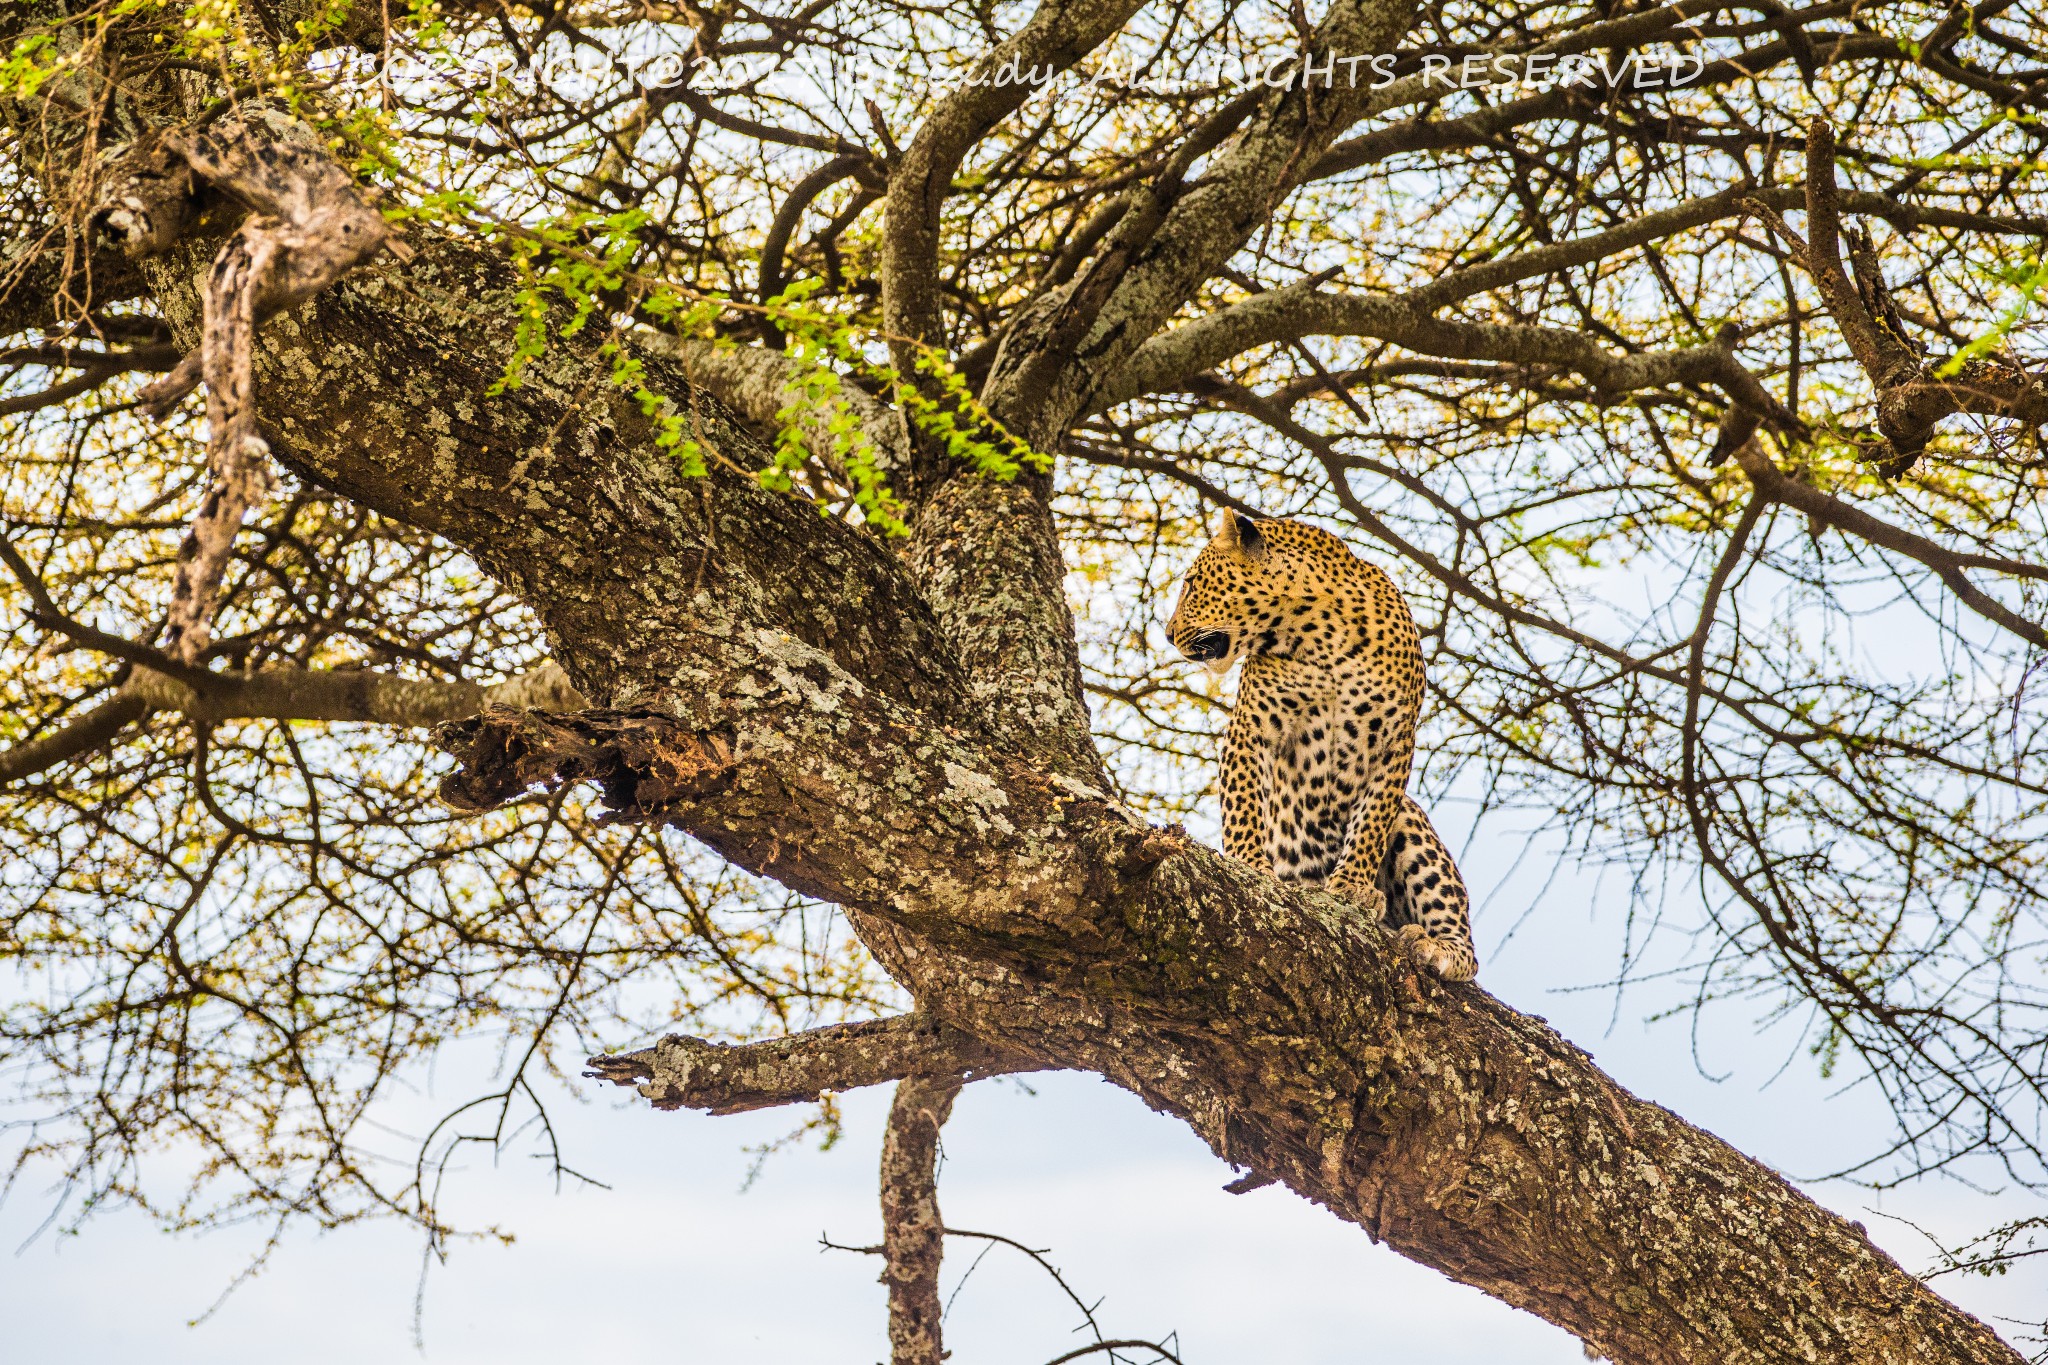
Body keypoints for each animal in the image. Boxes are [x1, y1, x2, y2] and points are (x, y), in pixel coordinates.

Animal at [1163, 509, 1482, 982]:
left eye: (1190, 582)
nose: (1167, 634)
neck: (1319, 633)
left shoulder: (1397, 740)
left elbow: (1370, 824)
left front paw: (1353, 886)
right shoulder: (1250, 727)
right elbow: (1243, 806)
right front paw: (1250, 864)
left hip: (1412, 823)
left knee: (1468, 950)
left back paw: (1435, 946)